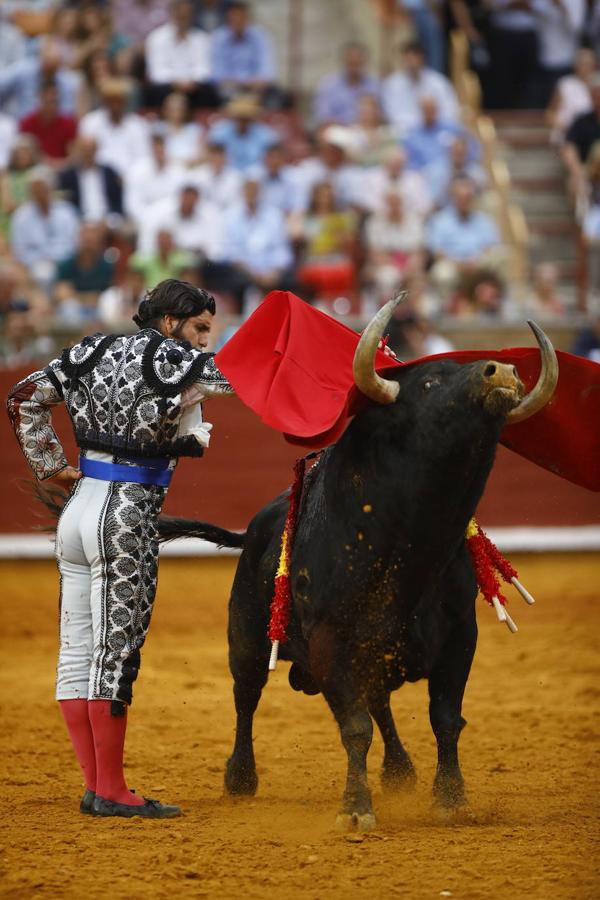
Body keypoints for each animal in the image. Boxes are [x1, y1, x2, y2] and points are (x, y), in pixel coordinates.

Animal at [139, 300, 556, 828]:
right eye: (428, 383)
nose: (502, 371)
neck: (411, 545)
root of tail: (254, 529)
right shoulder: (330, 642)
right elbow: (355, 727)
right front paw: (356, 809)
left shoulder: (461, 636)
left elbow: (444, 719)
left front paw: (451, 799)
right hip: (247, 640)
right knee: (246, 698)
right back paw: (240, 779)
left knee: (379, 703)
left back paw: (400, 772)